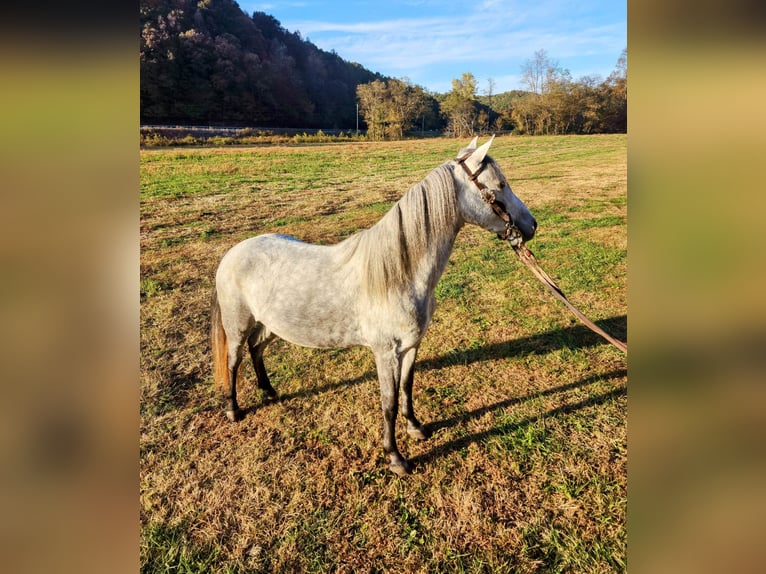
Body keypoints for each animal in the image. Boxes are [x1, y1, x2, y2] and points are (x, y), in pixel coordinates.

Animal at [207, 136, 536, 476]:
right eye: (500, 185)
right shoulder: (385, 352)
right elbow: (388, 402)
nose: (531, 226)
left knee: (257, 349)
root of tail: (232, 253)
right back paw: (233, 410)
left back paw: (269, 391)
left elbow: (406, 388)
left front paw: (415, 427)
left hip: (271, 324)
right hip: (238, 325)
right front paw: (395, 457)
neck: (399, 273)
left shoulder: (410, 347)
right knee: (234, 361)